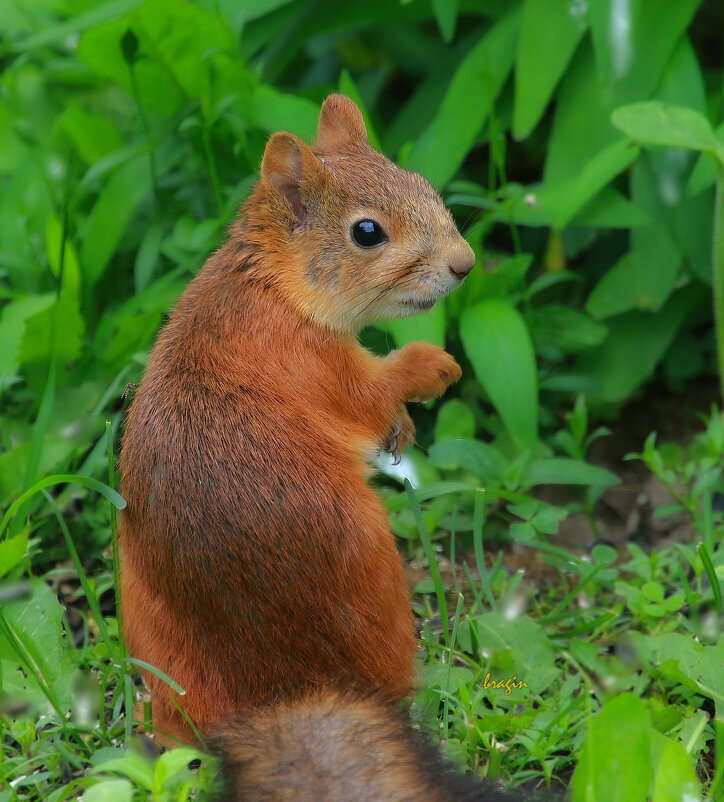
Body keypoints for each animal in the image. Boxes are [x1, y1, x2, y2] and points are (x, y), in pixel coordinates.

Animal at [119, 94, 476, 744]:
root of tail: (281, 689)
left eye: (422, 184)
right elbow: (372, 394)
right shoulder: (318, 364)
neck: (276, 286)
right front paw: (431, 366)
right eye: (367, 232)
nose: (464, 264)